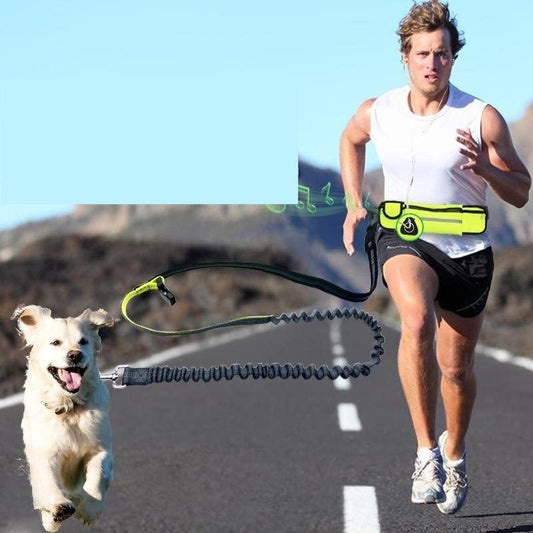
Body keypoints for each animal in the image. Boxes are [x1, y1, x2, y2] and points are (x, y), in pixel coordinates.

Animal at [13, 306, 114, 528]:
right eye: (55, 342)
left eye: (84, 341)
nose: (75, 355)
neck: (69, 407)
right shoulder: (44, 452)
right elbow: (48, 479)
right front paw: (59, 508)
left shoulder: (101, 448)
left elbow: (98, 472)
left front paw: (90, 509)